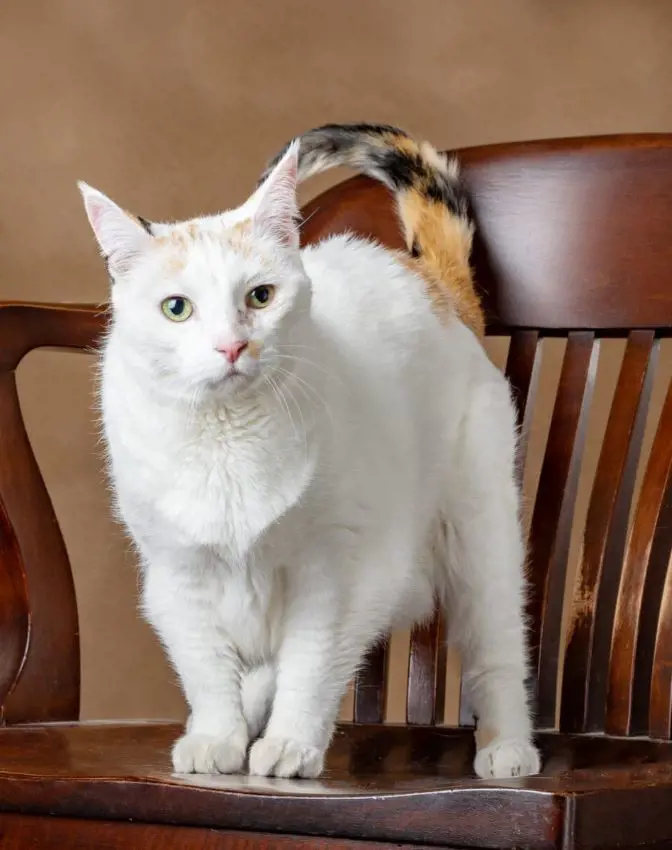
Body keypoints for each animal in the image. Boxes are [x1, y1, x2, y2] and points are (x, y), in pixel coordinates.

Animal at [79, 122, 540, 780]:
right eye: (176, 308)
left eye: (261, 296)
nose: (231, 347)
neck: (227, 442)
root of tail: (434, 284)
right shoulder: (178, 576)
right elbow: (206, 667)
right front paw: (217, 736)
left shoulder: (337, 575)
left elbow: (312, 664)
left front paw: (291, 744)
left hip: (478, 537)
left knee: (497, 650)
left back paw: (508, 748)